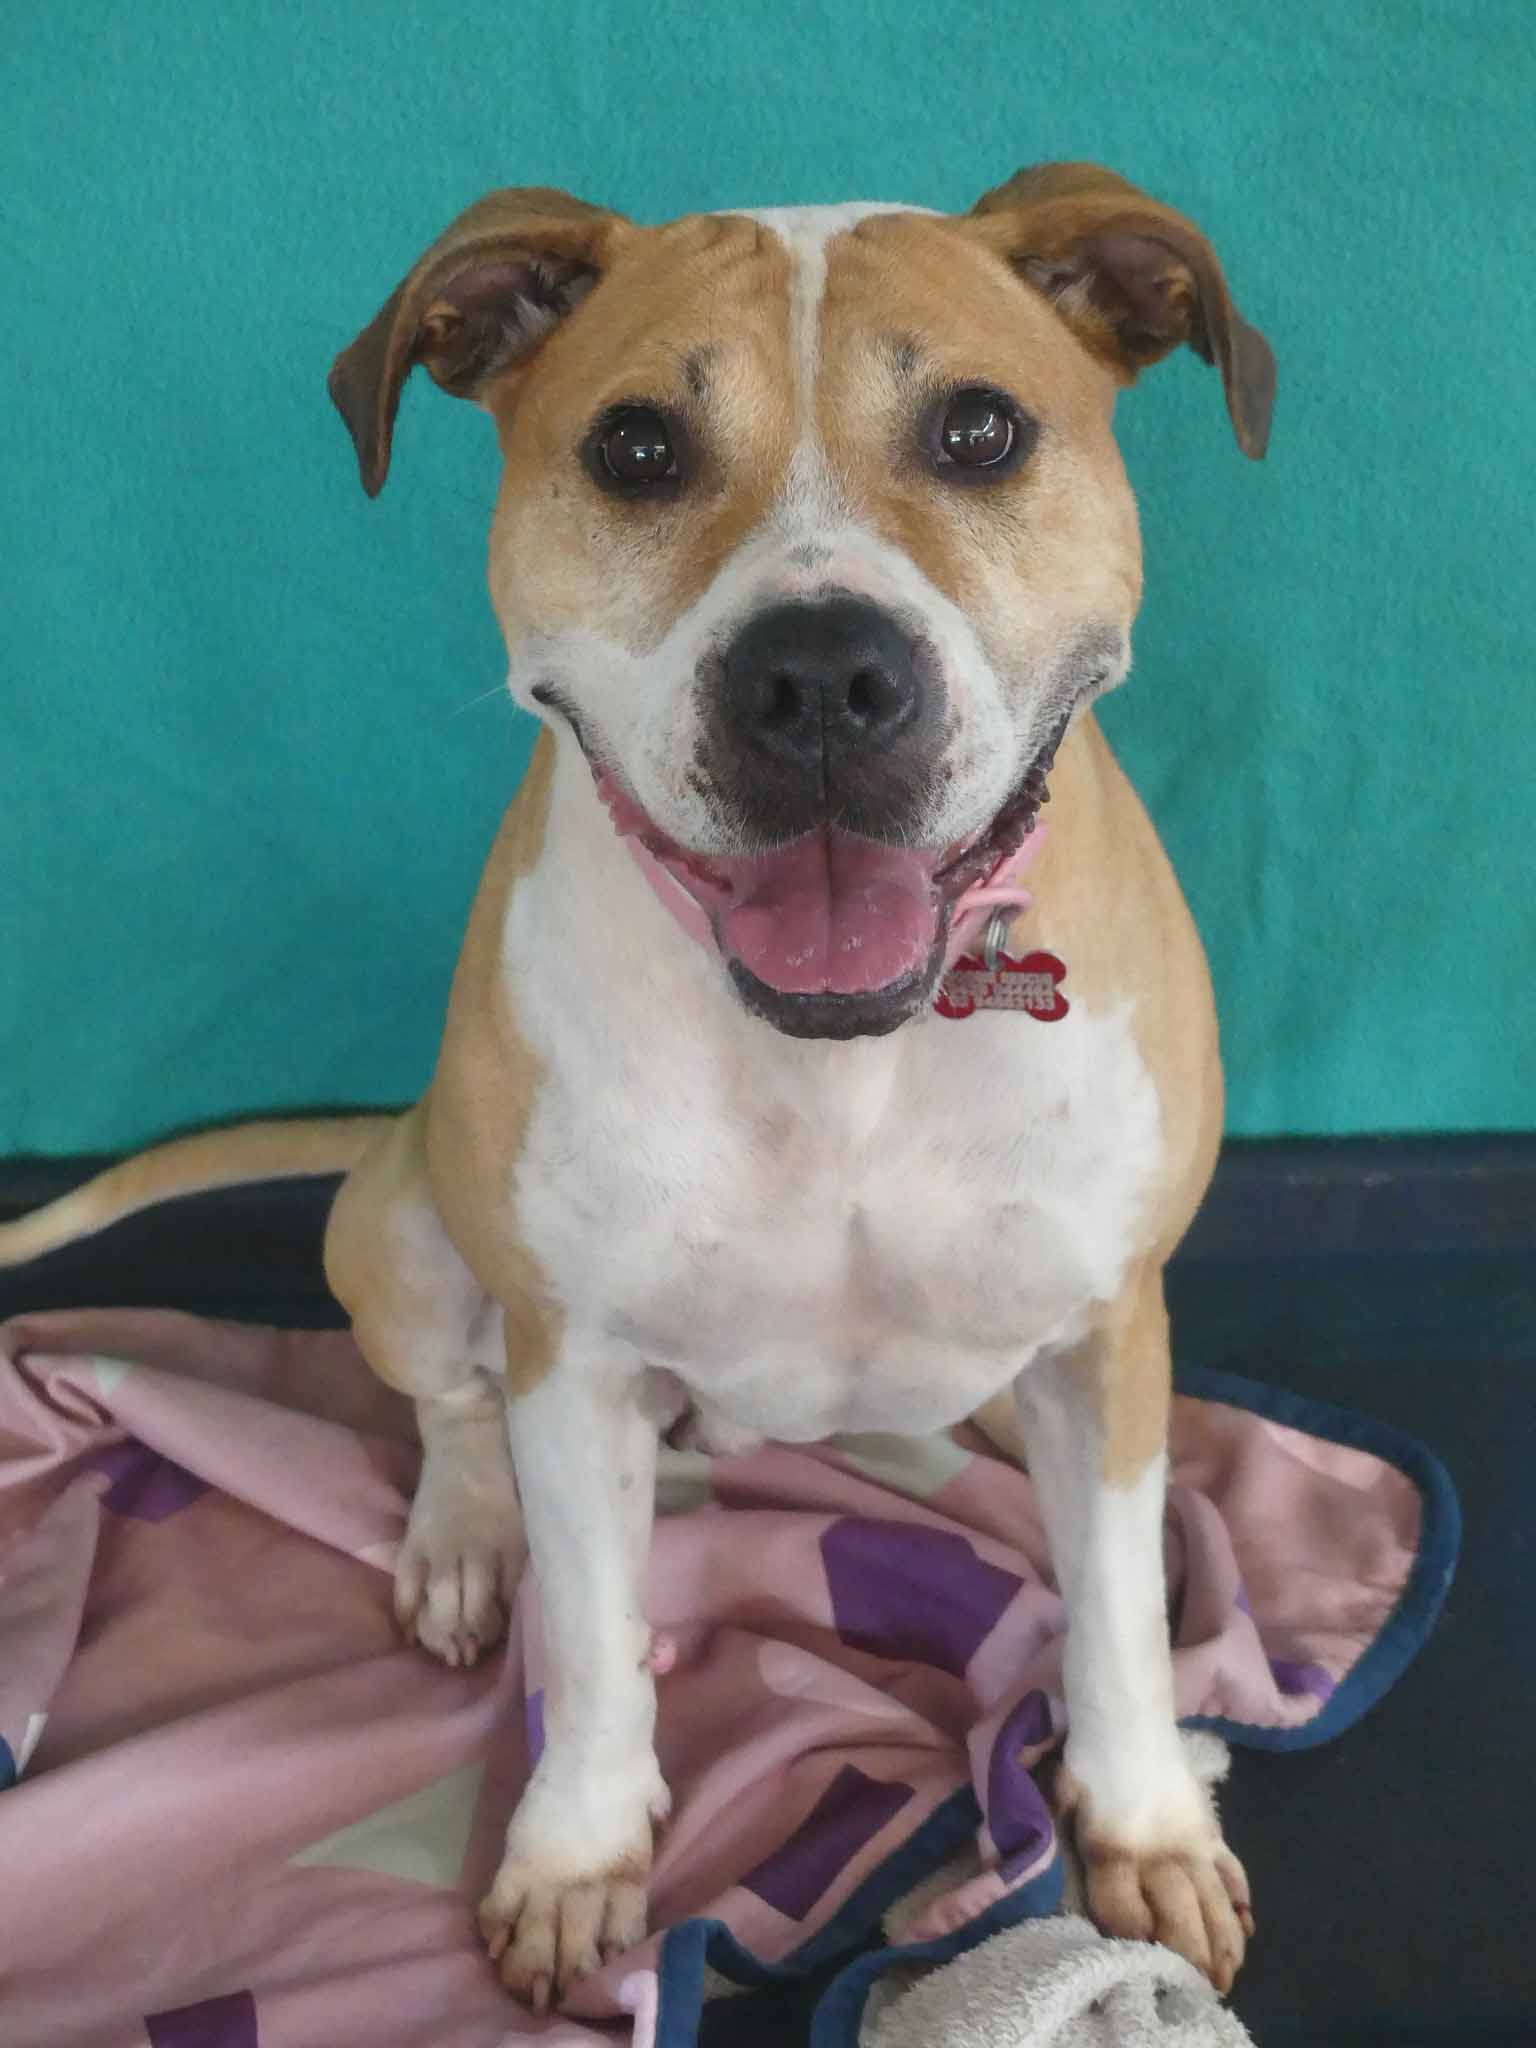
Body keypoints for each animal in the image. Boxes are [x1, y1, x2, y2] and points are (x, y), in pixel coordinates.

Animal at [1, 163, 1274, 2009]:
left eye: (977, 429)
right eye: (638, 449)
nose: (820, 676)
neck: (839, 1057)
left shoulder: (1115, 1333)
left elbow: (1113, 1614)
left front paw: (1147, 1820)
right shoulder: (578, 1357)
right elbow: (595, 1639)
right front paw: (574, 1849)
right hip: (403, 1229)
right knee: (452, 1408)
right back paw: (463, 1542)